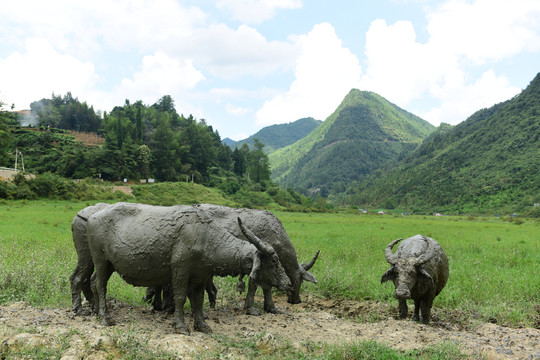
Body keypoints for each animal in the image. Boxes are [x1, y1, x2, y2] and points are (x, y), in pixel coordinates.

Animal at [87, 202, 292, 334]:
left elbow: (198, 300)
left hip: (108, 265)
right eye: (274, 261)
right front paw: (181, 325)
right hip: (101, 261)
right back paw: (105, 317)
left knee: (92, 282)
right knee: (101, 286)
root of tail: (92, 217)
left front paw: (202, 325)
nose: (289, 283)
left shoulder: (200, 276)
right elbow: (180, 297)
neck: (206, 237)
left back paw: (96, 311)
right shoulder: (180, 271)